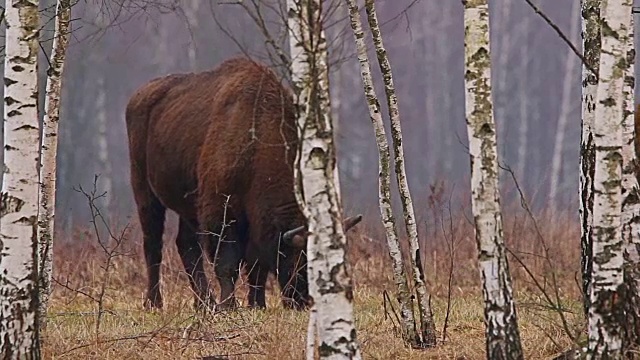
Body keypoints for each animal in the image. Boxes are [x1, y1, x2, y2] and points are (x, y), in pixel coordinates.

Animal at [125, 57, 362, 312]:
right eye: (301, 261)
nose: (304, 301)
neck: (258, 146)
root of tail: (138, 96)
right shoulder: (221, 213)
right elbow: (227, 263)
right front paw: (229, 306)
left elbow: (256, 267)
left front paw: (257, 305)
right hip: (145, 194)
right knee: (153, 246)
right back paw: (155, 302)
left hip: (188, 207)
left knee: (186, 246)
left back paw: (205, 303)